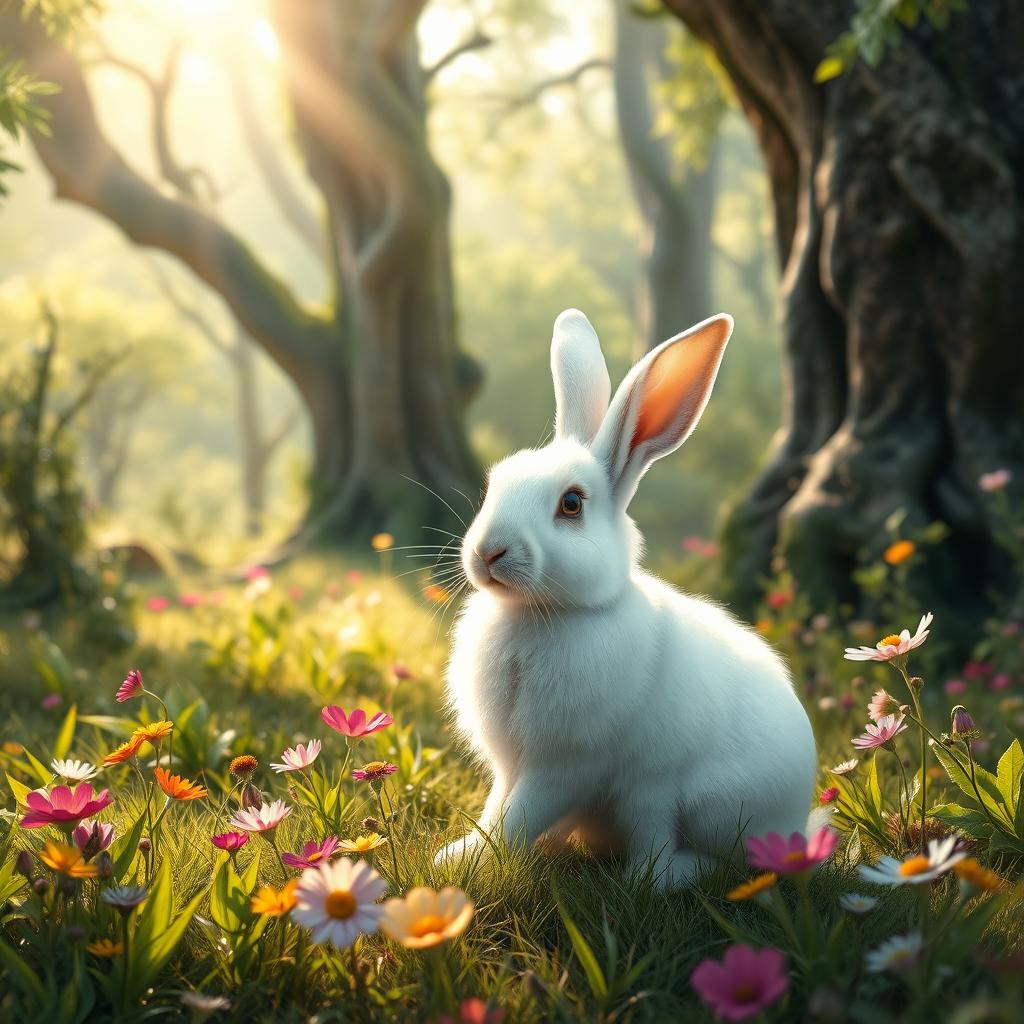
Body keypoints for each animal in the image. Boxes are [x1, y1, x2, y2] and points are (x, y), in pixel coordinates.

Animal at [436, 309, 817, 889]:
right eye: (494, 483)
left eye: (572, 504)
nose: (488, 551)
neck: (542, 614)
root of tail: (796, 822)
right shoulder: (512, 765)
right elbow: (497, 805)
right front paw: (454, 857)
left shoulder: (565, 764)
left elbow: (518, 815)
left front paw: (479, 862)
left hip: (677, 795)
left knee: (683, 858)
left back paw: (659, 875)